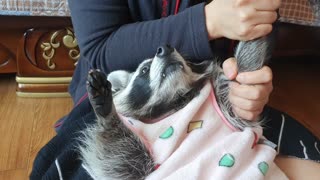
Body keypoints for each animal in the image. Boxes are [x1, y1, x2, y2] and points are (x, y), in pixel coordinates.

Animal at [80, 35, 276, 179]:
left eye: (188, 62)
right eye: (144, 70)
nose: (165, 48)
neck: (176, 99)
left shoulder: (226, 105)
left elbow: (241, 82)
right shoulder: (145, 168)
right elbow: (119, 161)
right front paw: (108, 116)